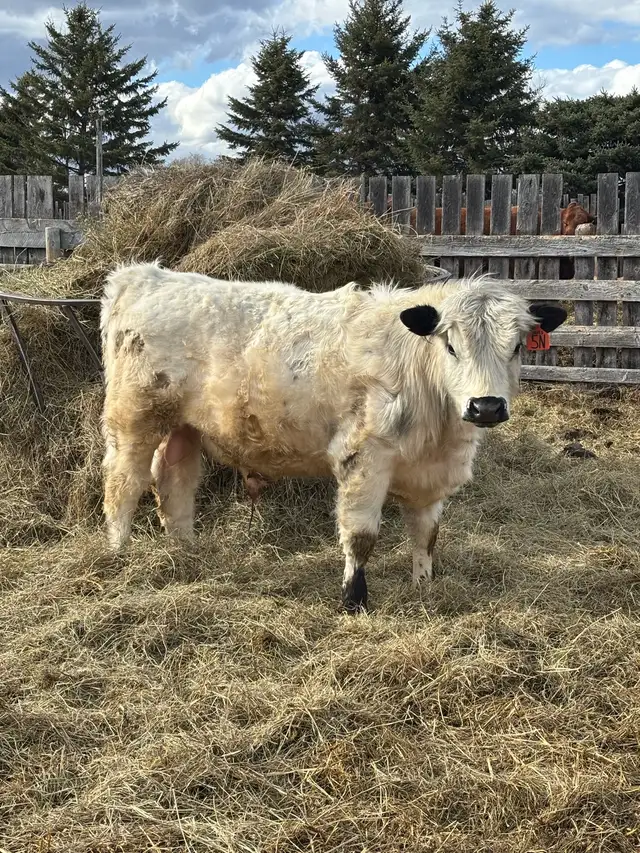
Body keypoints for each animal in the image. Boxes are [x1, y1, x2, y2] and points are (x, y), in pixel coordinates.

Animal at [100, 262, 567, 613]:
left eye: (518, 346)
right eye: (450, 345)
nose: (485, 406)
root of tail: (142, 275)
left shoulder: (430, 474)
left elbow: (426, 535)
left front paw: (424, 587)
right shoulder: (363, 457)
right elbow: (361, 536)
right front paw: (353, 600)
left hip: (184, 428)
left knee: (174, 483)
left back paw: (184, 552)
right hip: (134, 419)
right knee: (124, 484)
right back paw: (118, 553)